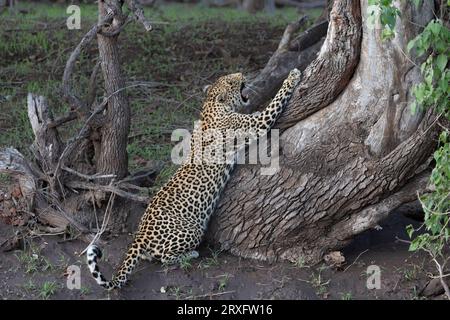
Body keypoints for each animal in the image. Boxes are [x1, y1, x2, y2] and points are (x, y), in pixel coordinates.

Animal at [86, 67, 300, 290]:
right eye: (231, 82)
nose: (241, 74)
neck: (211, 106)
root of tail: (141, 235)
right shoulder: (255, 124)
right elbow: (274, 103)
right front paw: (292, 77)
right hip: (193, 230)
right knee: (165, 258)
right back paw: (192, 254)